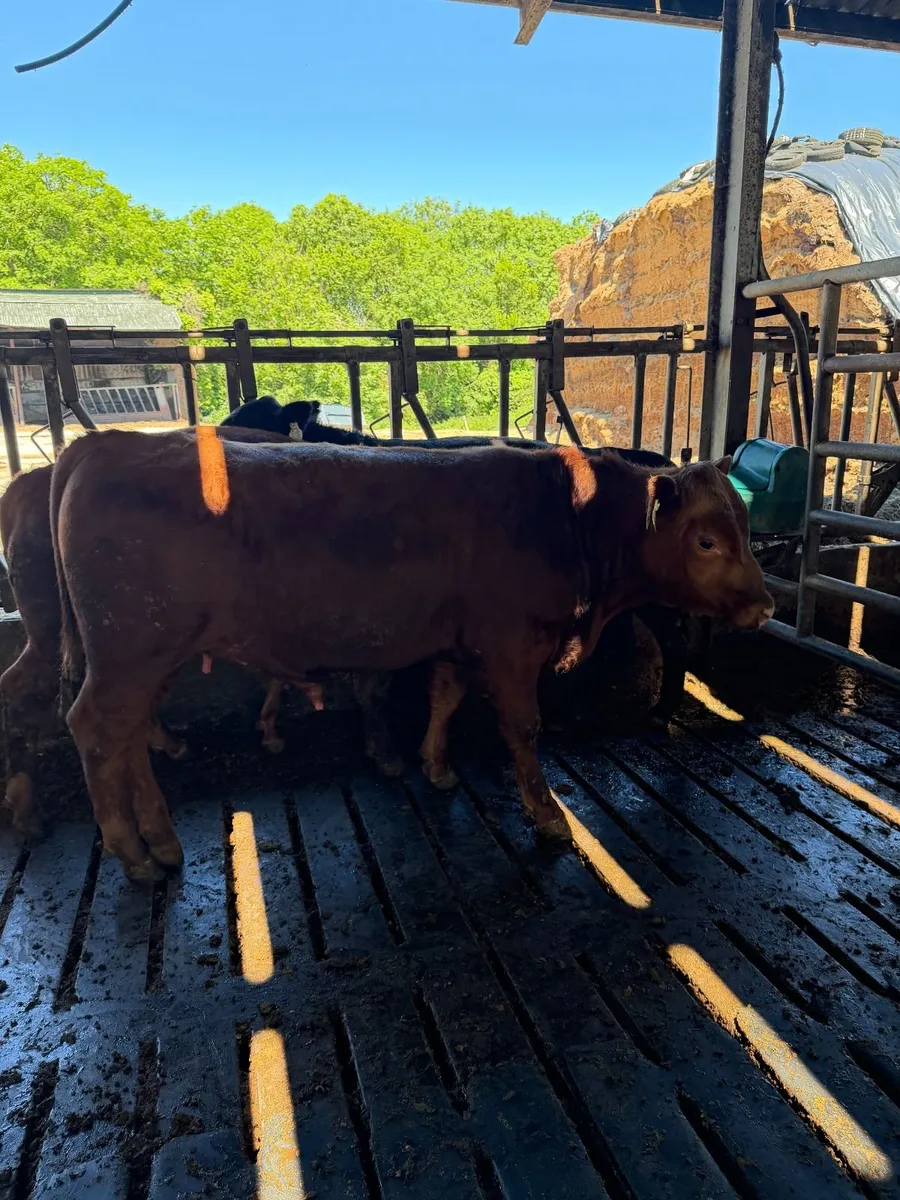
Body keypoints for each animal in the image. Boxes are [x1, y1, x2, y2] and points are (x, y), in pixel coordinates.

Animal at [51, 430, 772, 880]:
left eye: (744, 526)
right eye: (706, 540)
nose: (764, 606)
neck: (571, 517)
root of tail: (105, 444)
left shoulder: (458, 642)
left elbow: (445, 698)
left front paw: (436, 766)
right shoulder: (513, 647)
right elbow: (523, 729)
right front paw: (547, 816)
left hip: (149, 659)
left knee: (130, 739)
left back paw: (162, 840)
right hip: (129, 654)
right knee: (98, 733)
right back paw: (134, 853)